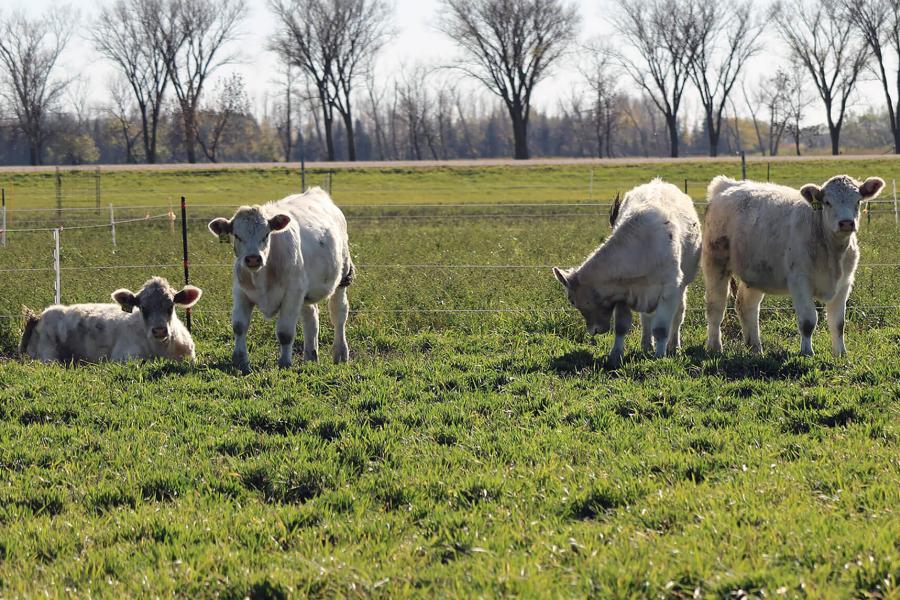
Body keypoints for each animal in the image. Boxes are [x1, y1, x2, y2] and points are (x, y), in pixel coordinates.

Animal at [19, 276, 204, 364]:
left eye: (170, 305)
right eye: (143, 307)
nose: (159, 330)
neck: (161, 349)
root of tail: (40, 316)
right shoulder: (124, 357)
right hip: (48, 355)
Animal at [209, 185, 354, 372]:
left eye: (266, 235)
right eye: (237, 236)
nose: (253, 259)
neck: (262, 275)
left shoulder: (292, 294)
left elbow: (285, 333)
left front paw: (284, 362)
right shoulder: (240, 292)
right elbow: (239, 327)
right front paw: (240, 360)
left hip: (342, 277)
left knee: (339, 314)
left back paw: (340, 354)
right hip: (304, 290)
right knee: (311, 317)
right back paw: (310, 356)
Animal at [548, 178, 704, 366]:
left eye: (571, 300)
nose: (592, 331)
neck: (641, 248)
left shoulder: (669, 291)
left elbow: (661, 328)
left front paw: (660, 356)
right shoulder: (623, 293)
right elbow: (622, 327)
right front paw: (616, 354)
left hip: (683, 286)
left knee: (678, 315)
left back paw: (674, 345)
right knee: (646, 319)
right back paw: (646, 344)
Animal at [700, 172, 884, 356]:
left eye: (858, 201)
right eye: (827, 202)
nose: (846, 223)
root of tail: (727, 184)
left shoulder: (845, 282)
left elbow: (838, 323)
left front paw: (841, 354)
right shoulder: (799, 280)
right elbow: (808, 320)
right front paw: (807, 352)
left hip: (755, 273)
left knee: (746, 306)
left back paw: (756, 348)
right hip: (715, 262)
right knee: (716, 306)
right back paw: (715, 346)